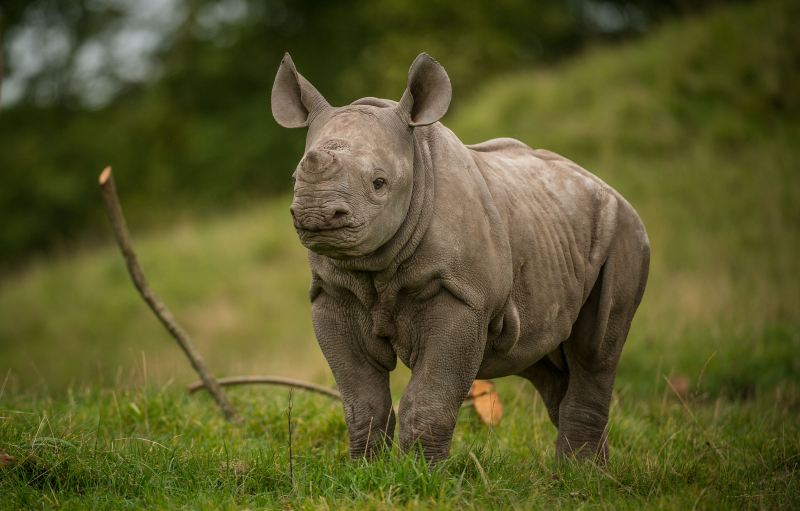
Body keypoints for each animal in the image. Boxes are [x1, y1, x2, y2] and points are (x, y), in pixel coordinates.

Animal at [271, 52, 649, 464]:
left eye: (379, 183)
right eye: (294, 179)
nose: (315, 215)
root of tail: (612, 190)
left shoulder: (462, 296)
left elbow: (429, 397)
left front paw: (420, 472)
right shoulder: (332, 294)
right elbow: (362, 400)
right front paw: (365, 469)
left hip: (624, 233)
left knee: (594, 353)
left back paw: (579, 473)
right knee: (541, 360)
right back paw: (589, 470)